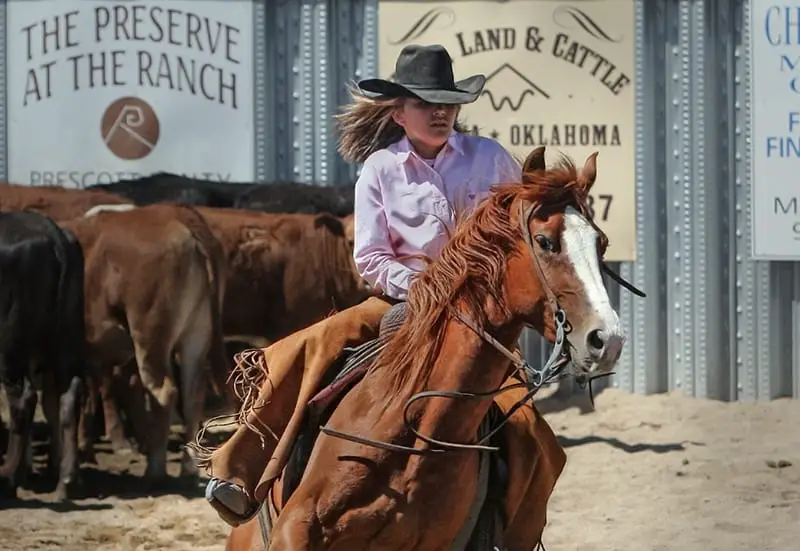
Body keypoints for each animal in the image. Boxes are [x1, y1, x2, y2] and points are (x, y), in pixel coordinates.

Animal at [0, 210, 86, 500]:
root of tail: (53, 234)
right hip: (66, 344)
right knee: (68, 398)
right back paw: (65, 481)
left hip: (10, 349)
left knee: (22, 403)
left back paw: (9, 478)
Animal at [59, 204, 227, 488]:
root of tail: (175, 213)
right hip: (196, 334)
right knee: (193, 396)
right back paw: (187, 467)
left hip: (149, 333)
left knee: (164, 392)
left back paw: (154, 471)